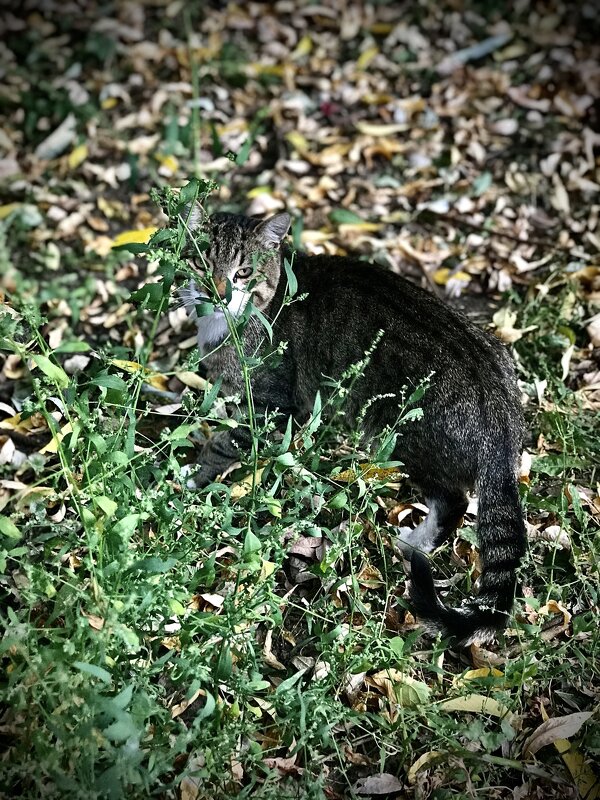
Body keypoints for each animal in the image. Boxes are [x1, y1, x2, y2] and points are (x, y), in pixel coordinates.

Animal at [177, 209, 524, 648]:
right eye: (201, 264)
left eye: (243, 272)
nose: (217, 293)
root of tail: (501, 408)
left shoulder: (272, 406)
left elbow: (222, 445)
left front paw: (193, 476)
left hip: (402, 438)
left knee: (454, 501)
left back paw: (415, 543)